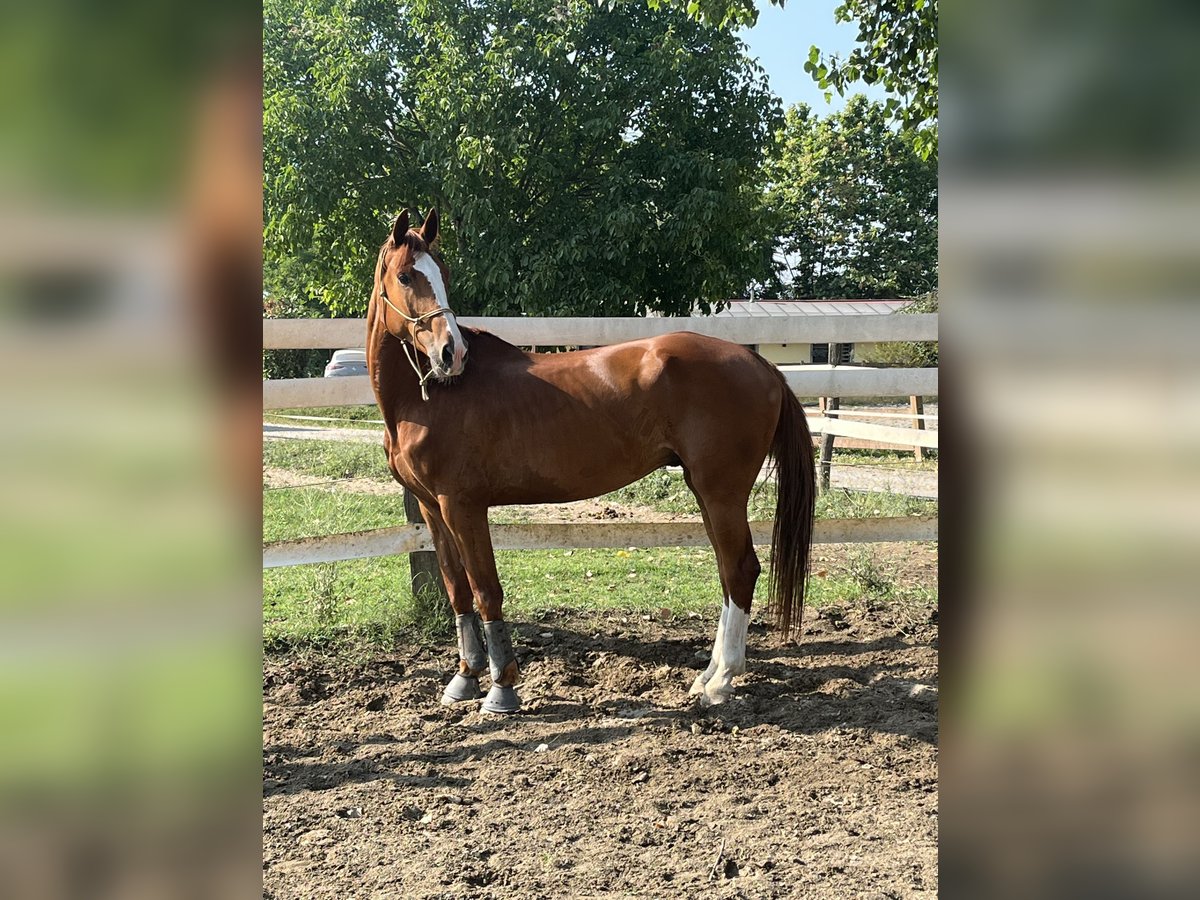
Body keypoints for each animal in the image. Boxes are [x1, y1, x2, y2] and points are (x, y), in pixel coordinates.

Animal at [368, 208, 815, 713]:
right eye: (406, 276)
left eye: (442, 274)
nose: (452, 353)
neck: (427, 400)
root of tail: (761, 365)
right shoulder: (431, 508)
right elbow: (458, 591)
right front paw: (463, 680)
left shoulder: (463, 506)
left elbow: (486, 592)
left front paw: (502, 689)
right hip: (707, 492)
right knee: (727, 570)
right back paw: (707, 677)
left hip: (721, 492)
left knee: (740, 570)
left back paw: (721, 682)